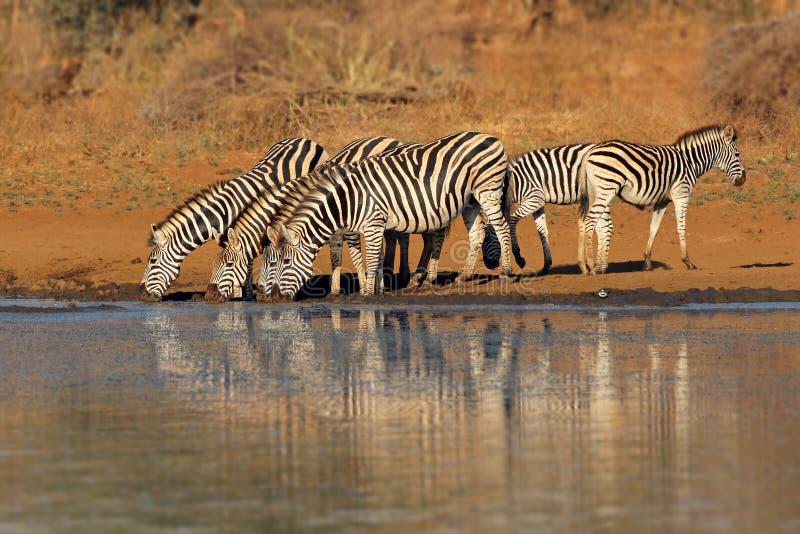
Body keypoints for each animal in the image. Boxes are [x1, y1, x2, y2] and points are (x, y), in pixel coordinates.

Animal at [139, 138, 326, 304]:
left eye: (152, 262)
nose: (143, 295)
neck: (224, 212)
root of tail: (303, 139)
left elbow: (245, 262)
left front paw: (243, 294)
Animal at [264, 130, 512, 302]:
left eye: (284, 262)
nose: (274, 297)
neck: (347, 201)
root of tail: (492, 137)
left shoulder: (372, 223)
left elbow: (371, 260)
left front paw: (366, 293)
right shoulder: (377, 224)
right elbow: (379, 257)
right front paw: (378, 288)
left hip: (487, 190)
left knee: (502, 227)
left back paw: (506, 273)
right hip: (470, 200)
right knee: (477, 234)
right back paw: (463, 277)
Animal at [478, 142, 596, 276]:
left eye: (486, 238)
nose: (488, 265)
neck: (514, 182)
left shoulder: (536, 198)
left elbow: (512, 221)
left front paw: (519, 258)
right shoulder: (537, 205)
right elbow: (542, 231)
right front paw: (546, 266)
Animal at [580, 124, 748, 276]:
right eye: (737, 154)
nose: (743, 180)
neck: (690, 162)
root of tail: (590, 152)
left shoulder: (662, 201)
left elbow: (654, 228)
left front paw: (647, 262)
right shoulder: (682, 194)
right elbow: (682, 227)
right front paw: (688, 261)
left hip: (595, 191)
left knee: (592, 222)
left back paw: (593, 266)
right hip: (607, 188)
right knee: (590, 221)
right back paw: (591, 266)